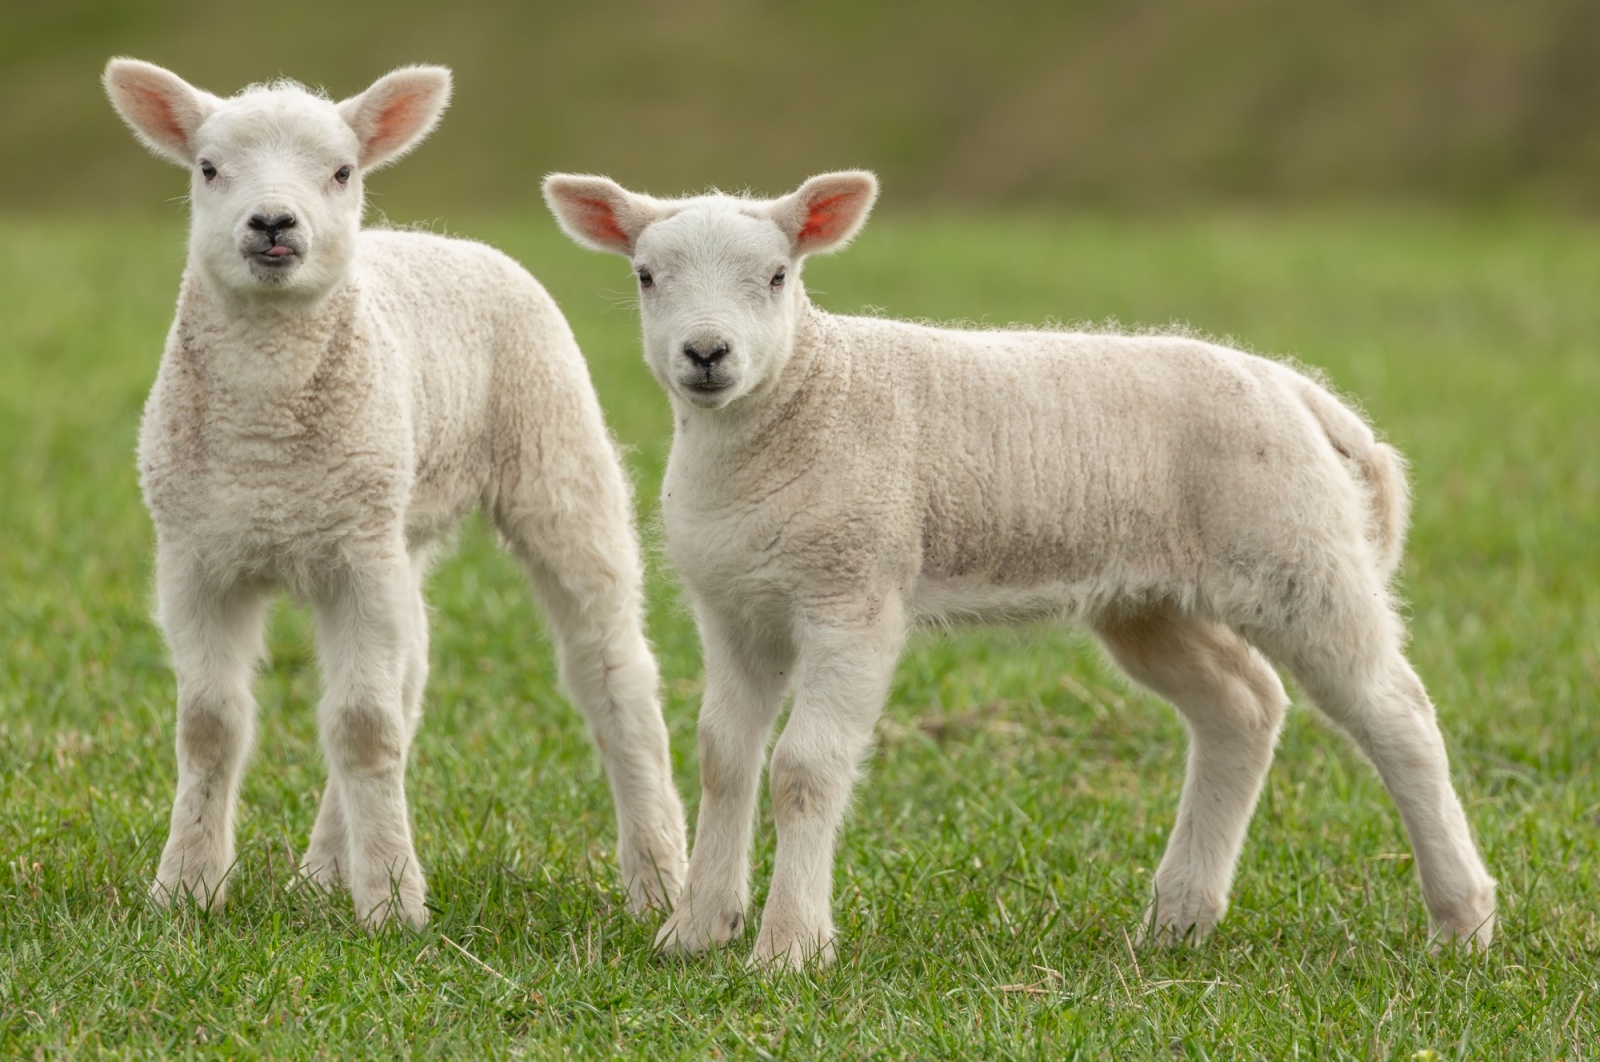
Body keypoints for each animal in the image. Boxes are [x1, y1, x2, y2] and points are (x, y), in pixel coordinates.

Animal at [102, 59, 687, 929]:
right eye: (207, 168)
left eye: (342, 171)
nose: (272, 223)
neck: (265, 445)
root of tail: (439, 238)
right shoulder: (197, 557)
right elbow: (210, 727)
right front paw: (186, 889)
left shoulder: (353, 560)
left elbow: (361, 727)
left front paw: (392, 907)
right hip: (395, 521)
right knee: (408, 678)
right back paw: (321, 875)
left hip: (555, 460)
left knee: (611, 671)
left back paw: (658, 881)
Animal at [542, 169, 1497, 969]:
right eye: (646, 276)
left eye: (778, 276)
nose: (707, 355)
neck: (800, 399)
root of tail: (1302, 394)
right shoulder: (736, 608)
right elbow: (723, 758)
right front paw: (696, 930)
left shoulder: (855, 593)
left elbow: (805, 768)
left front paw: (789, 949)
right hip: (1150, 599)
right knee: (1242, 704)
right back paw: (1178, 921)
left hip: (1297, 555)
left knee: (1397, 713)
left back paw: (1463, 920)